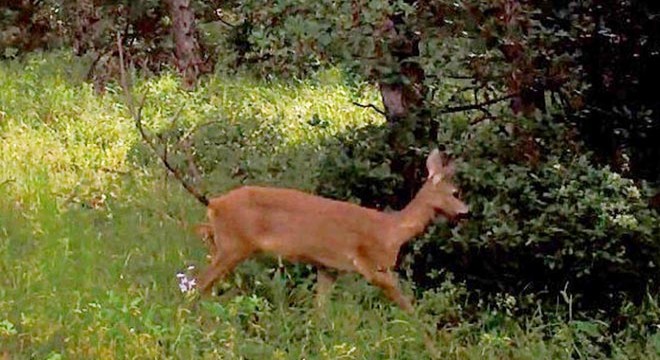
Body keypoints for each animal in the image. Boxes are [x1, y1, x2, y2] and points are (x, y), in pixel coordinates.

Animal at [193, 149, 466, 312]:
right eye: (455, 192)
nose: (466, 211)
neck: (392, 230)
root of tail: (214, 204)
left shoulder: (329, 268)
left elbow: (320, 311)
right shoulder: (372, 265)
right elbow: (409, 308)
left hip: (228, 245)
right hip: (234, 246)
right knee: (199, 282)